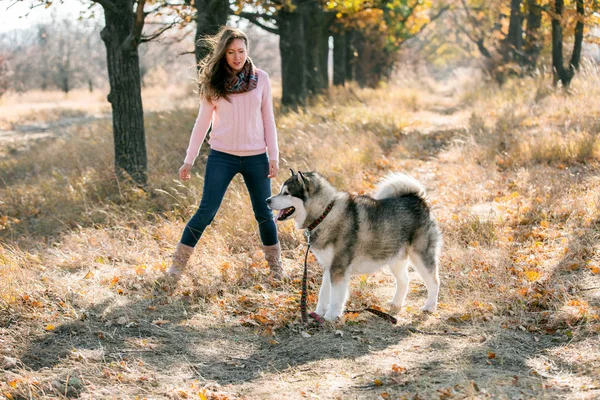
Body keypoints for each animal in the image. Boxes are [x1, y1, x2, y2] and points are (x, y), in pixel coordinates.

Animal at [268, 169, 440, 322]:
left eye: (286, 193)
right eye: (280, 191)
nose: (267, 200)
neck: (324, 214)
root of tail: (417, 199)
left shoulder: (338, 269)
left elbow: (335, 297)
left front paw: (330, 316)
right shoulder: (328, 268)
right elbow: (323, 294)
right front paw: (318, 313)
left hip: (421, 257)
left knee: (434, 282)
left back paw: (429, 306)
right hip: (395, 258)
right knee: (405, 281)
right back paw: (396, 303)